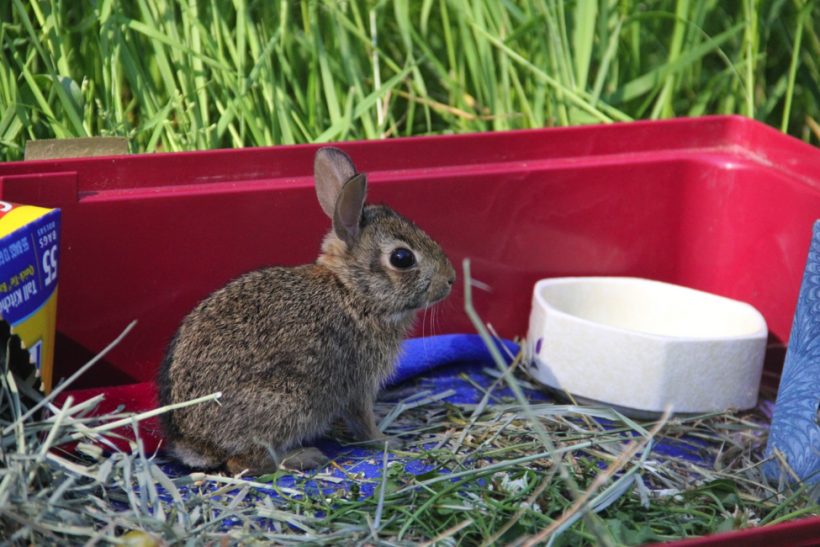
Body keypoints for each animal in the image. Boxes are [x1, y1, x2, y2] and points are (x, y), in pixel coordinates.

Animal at [157, 146, 458, 476]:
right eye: (402, 258)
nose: (451, 279)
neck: (353, 291)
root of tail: (194, 442)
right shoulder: (357, 383)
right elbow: (362, 421)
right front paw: (387, 441)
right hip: (291, 400)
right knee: (244, 462)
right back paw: (305, 457)